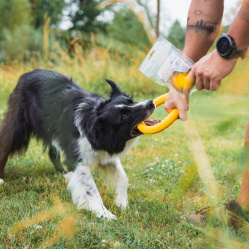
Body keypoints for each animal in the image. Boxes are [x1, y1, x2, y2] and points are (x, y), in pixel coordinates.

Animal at [0, 69, 155, 219]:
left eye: (132, 100)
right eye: (124, 116)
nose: (150, 103)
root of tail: (25, 74)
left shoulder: (104, 153)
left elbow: (123, 177)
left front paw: (121, 203)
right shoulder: (79, 158)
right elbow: (90, 189)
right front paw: (104, 214)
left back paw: (64, 173)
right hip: (18, 121)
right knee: (6, 142)